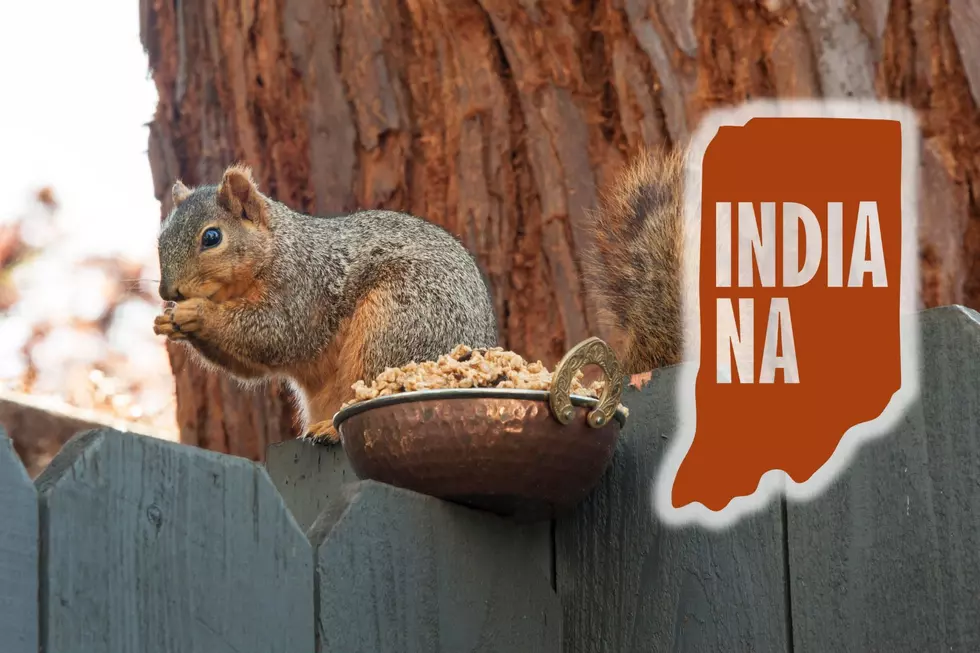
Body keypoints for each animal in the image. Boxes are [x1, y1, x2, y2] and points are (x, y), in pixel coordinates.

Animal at [153, 165, 499, 442]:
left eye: (212, 237)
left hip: (396, 325)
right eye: (160, 239)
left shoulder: (303, 291)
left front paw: (198, 313)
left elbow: (273, 334)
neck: (276, 249)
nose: (169, 293)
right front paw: (168, 322)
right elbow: (250, 366)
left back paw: (330, 430)